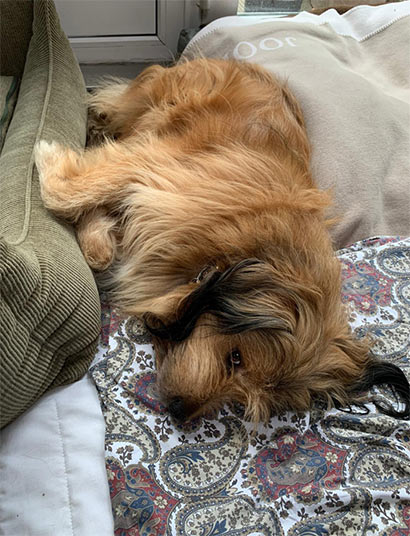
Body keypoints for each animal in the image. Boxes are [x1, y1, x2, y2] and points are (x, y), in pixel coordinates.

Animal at [34, 58, 410, 423]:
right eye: (236, 357)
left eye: (242, 401)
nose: (179, 413)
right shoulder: (153, 167)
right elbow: (68, 192)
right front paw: (48, 157)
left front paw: (96, 235)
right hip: (146, 109)